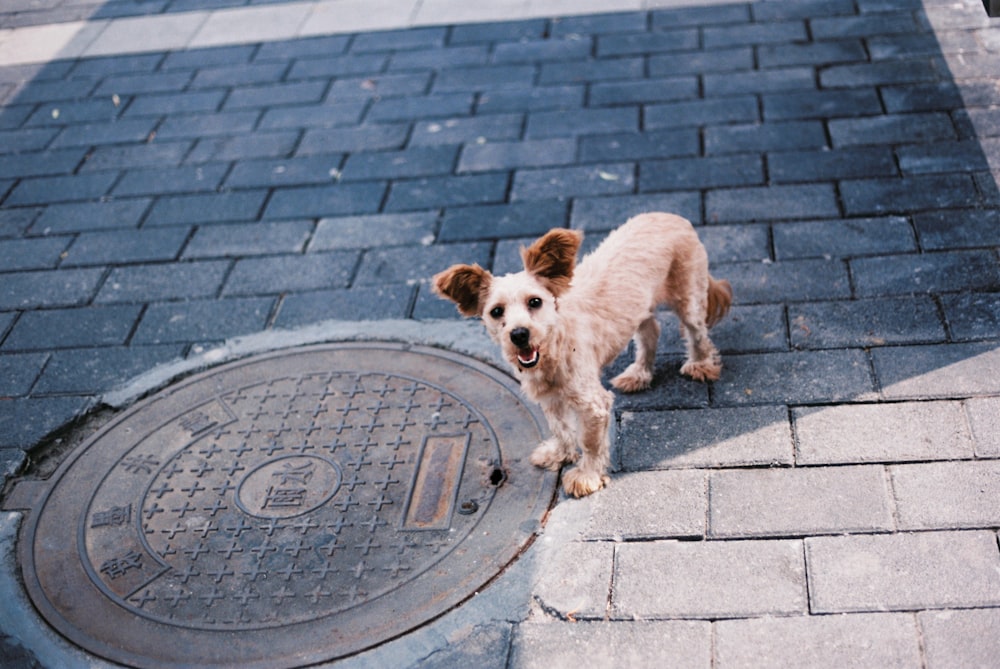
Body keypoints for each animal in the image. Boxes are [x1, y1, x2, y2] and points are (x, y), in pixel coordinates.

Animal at [434, 214, 732, 496]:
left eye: (535, 302)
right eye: (496, 311)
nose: (519, 334)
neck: (553, 348)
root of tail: (672, 216)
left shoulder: (592, 403)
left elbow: (589, 442)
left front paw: (586, 476)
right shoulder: (550, 398)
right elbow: (559, 427)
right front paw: (560, 453)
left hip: (687, 296)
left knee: (696, 332)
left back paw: (701, 364)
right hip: (639, 308)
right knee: (650, 332)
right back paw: (639, 374)